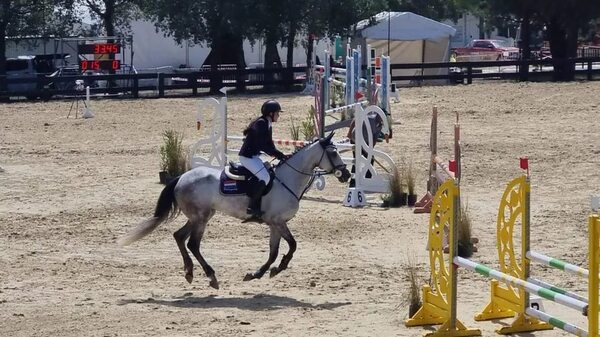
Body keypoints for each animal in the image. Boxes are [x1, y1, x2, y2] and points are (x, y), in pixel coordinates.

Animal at [118, 133, 352, 288]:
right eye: (333, 152)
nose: (347, 175)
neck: (288, 179)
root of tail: (181, 177)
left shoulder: (275, 224)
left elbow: (274, 252)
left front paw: (259, 273)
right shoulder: (277, 222)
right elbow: (292, 246)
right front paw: (279, 267)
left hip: (199, 216)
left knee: (179, 237)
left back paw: (190, 272)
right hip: (201, 218)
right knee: (192, 243)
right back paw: (211, 276)